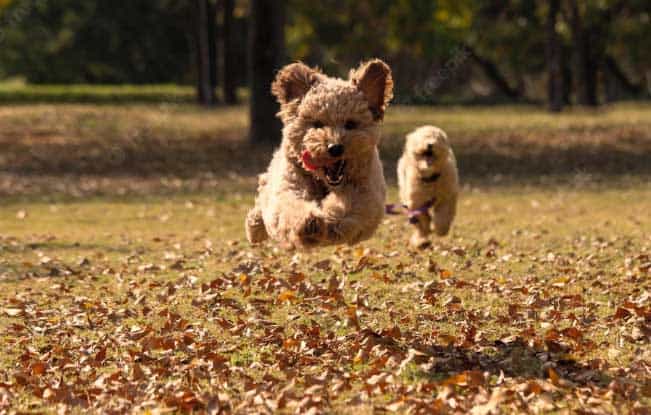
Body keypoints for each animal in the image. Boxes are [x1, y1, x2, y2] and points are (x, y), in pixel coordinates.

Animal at [247, 59, 394, 250]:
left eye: (350, 124)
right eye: (317, 124)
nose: (335, 147)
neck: (324, 182)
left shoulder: (366, 192)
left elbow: (351, 207)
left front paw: (329, 221)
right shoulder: (289, 182)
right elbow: (288, 204)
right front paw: (308, 223)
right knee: (263, 201)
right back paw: (255, 227)